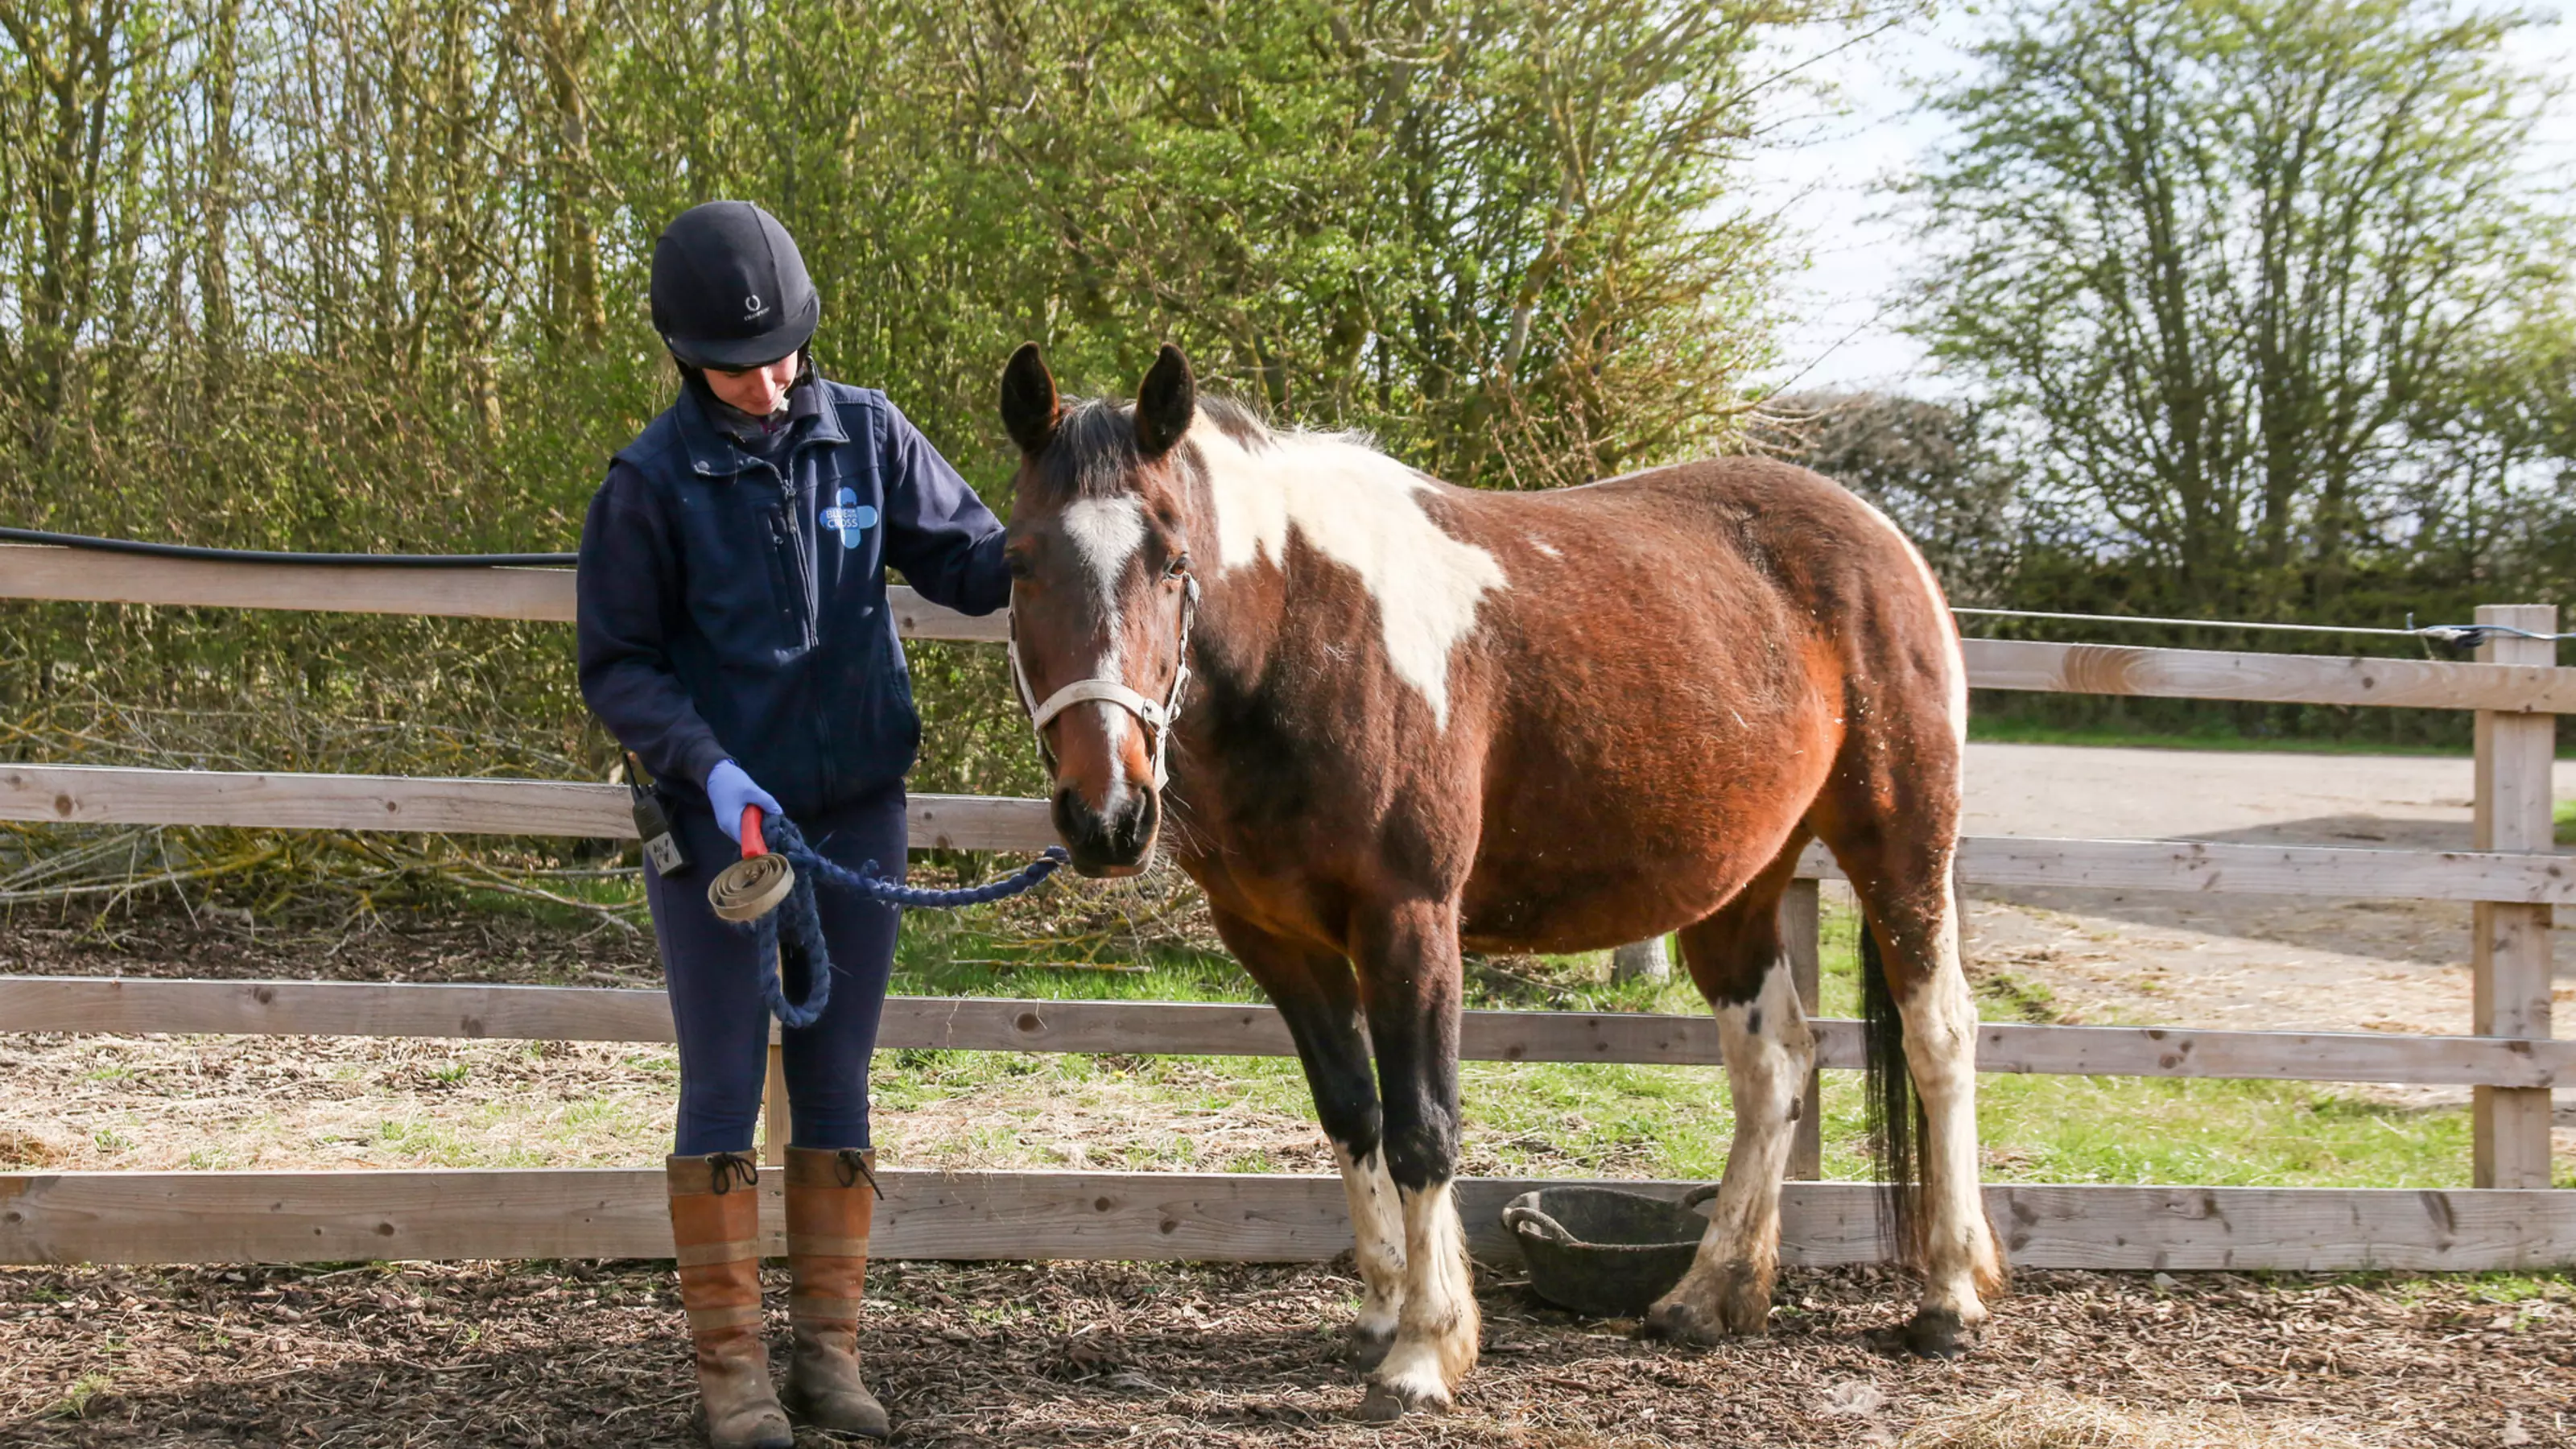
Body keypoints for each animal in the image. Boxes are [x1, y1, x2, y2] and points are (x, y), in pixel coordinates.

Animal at [994, 340, 1999, 1413]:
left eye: (1174, 563)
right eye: (1017, 563)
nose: (1107, 814)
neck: (1308, 632)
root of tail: (1883, 541)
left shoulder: (1409, 922)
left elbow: (1422, 1129)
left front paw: (1423, 1352)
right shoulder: (1277, 941)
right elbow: (1351, 1115)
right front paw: (1381, 1314)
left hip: (1901, 846)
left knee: (1938, 1040)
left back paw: (1947, 1298)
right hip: (1739, 889)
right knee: (1773, 1065)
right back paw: (1706, 1296)